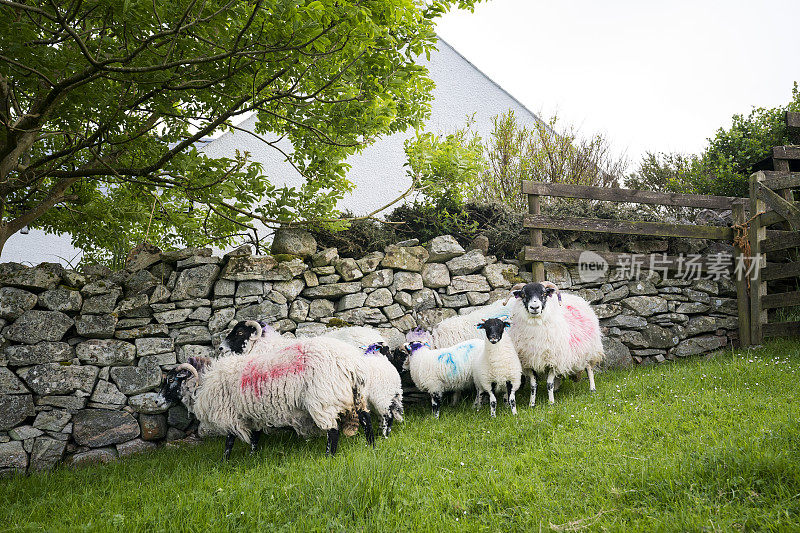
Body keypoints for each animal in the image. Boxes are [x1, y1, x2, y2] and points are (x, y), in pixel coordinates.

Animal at [162, 318, 378, 460]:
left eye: (239, 332)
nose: (221, 348)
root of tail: (350, 363)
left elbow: (231, 439)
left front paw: (226, 460)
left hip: (322, 398)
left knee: (332, 429)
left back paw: (329, 457)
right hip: (357, 394)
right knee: (365, 417)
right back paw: (371, 445)